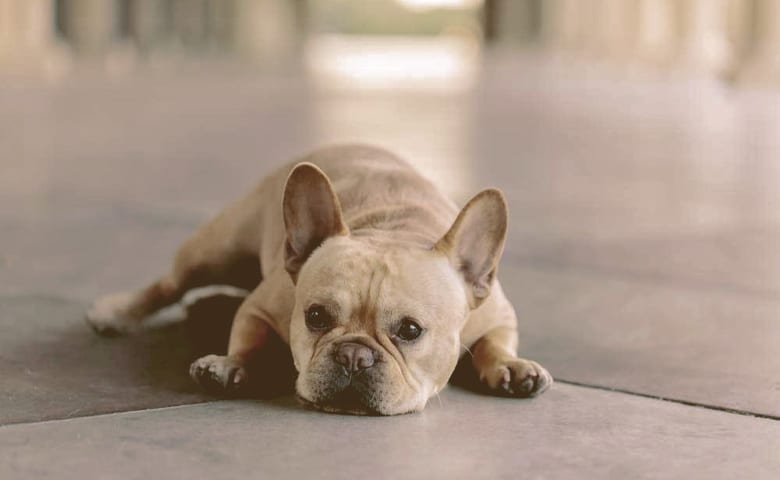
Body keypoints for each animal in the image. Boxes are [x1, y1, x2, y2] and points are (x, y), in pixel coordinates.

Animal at [87, 142, 556, 412]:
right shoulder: (263, 304)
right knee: (170, 284)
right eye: (315, 317)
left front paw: (510, 366)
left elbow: (495, 342)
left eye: (410, 330)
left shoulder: (498, 313)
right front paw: (233, 363)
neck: (392, 227)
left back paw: (208, 306)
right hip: (214, 248)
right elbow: (248, 335)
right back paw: (120, 311)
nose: (353, 355)